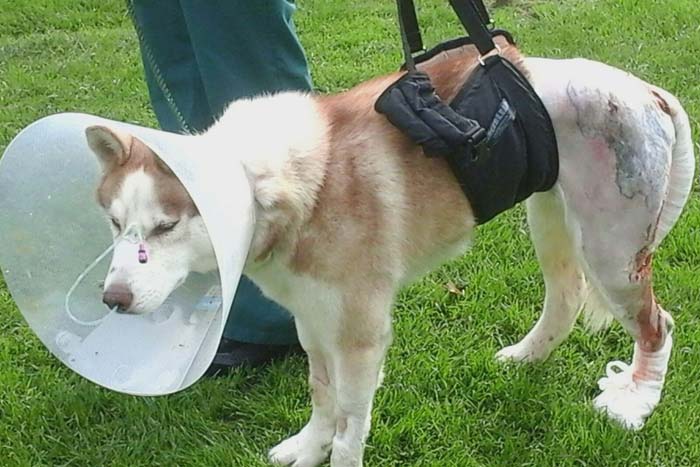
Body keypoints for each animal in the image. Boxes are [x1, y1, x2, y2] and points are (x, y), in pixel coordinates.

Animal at [86, 40, 696, 467]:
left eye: (167, 226)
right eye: (113, 223)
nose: (112, 299)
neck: (291, 188)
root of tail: (648, 92)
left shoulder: (360, 335)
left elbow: (350, 423)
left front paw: (333, 451)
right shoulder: (312, 320)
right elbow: (322, 395)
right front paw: (308, 447)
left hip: (612, 250)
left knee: (657, 325)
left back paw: (636, 402)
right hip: (552, 220)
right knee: (566, 297)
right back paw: (526, 358)